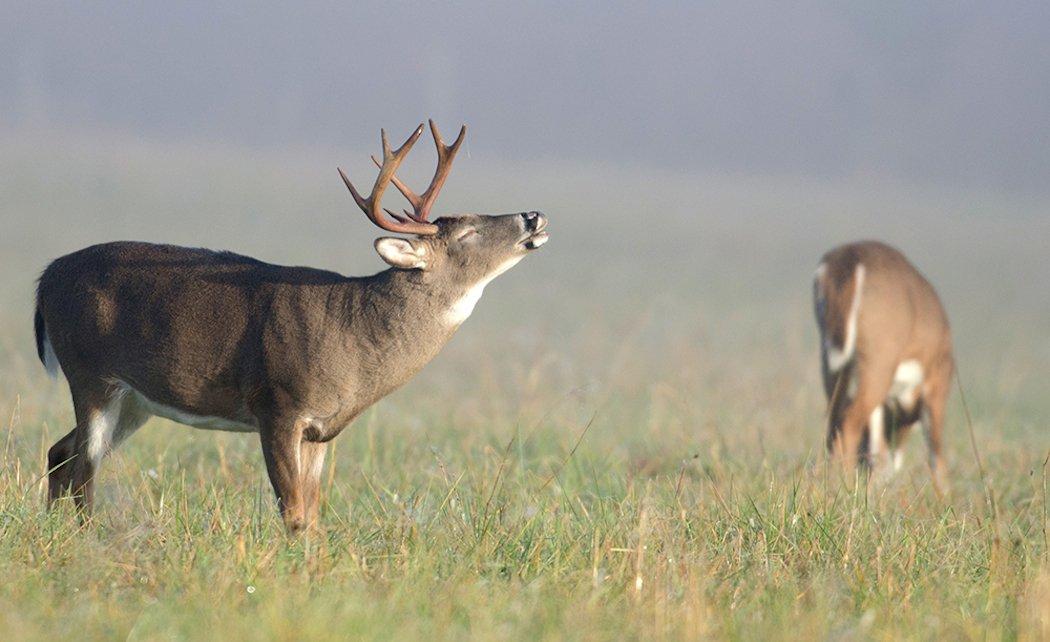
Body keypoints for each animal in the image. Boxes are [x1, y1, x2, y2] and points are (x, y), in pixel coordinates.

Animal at [32, 121, 550, 531]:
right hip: (91, 375)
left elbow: (314, 515)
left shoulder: (322, 430)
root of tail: (45, 279)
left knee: (61, 454)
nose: (534, 215)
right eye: (468, 232)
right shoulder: (277, 405)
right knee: (84, 472)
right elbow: (294, 513)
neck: (354, 334)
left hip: (135, 401)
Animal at [814, 241, 957, 491]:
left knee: (834, 423)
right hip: (877, 366)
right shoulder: (936, 385)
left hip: (834, 366)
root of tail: (852, 258)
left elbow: (877, 450)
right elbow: (936, 455)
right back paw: (844, 486)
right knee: (849, 423)